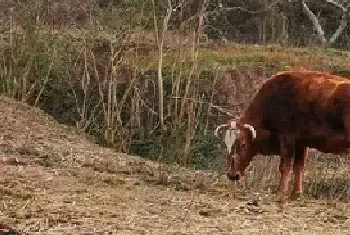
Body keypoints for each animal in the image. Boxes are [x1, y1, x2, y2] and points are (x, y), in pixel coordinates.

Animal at [215, 70, 350, 199]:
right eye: (227, 145)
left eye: (243, 144)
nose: (233, 175)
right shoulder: (301, 144)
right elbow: (298, 167)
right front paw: (296, 194)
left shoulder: (287, 139)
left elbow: (285, 166)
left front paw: (281, 192)